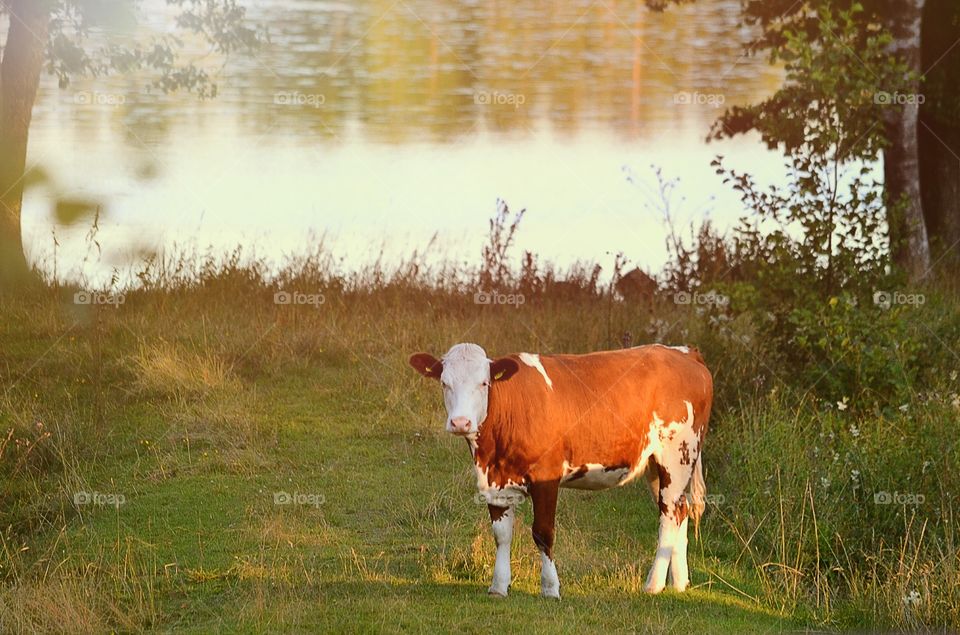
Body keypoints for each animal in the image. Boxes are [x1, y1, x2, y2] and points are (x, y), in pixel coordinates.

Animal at [409, 343, 713, 599]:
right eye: (445, 383)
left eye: (483, 383)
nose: (460, 422)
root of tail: (683, 352)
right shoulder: (495, 483)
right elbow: (502, 535)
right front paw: (499, 585)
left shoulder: (546, 477)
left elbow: (543, 532)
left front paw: (550, 587)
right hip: (656, 465)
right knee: (680, 509)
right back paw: (678, 582)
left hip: (678, 454)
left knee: (669, 514)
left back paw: (654, 584)